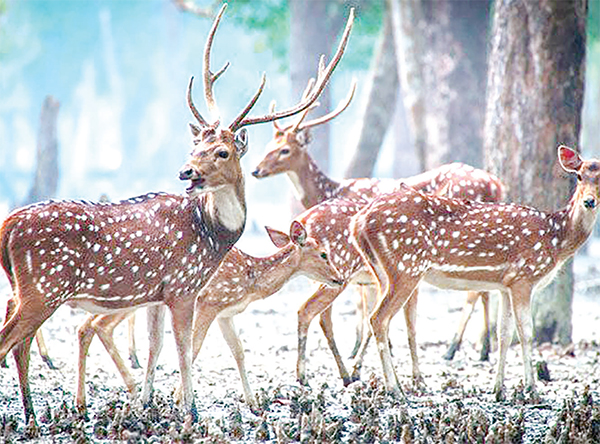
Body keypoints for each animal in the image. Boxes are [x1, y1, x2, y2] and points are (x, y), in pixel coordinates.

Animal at [75, 222, 342, 412]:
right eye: (323, 254)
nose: (339, 278)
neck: (250, 281)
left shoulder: (226, 313)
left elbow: (239, 351)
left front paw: (253, 404)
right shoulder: (209, 302)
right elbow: (194, 347)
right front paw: (179, 398)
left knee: (85, 327)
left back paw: (88, 401)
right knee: (98, 326)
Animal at [350, 147, 596, 402]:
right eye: (579, 176)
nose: (589, 201)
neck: (556, 239)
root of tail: (357, 222)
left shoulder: (506, 285)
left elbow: (504, 334)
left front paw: (499, 390)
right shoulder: (524, 277)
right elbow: (527, 333)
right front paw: (532, 391)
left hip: (382, 272)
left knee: (383, 319)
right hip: (406, 267)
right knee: (378, 318)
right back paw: (394, 390)